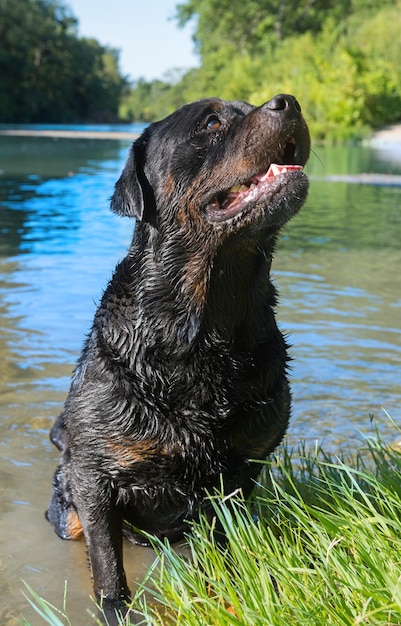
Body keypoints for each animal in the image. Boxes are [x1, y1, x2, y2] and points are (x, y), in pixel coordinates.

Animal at [46, 92, 310, 616]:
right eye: (210, 123)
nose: (287, 101)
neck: (203, 325)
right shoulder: (93, 477)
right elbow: (108, 568)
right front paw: (118, 611)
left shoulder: (242, 470)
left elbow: (226, 546)